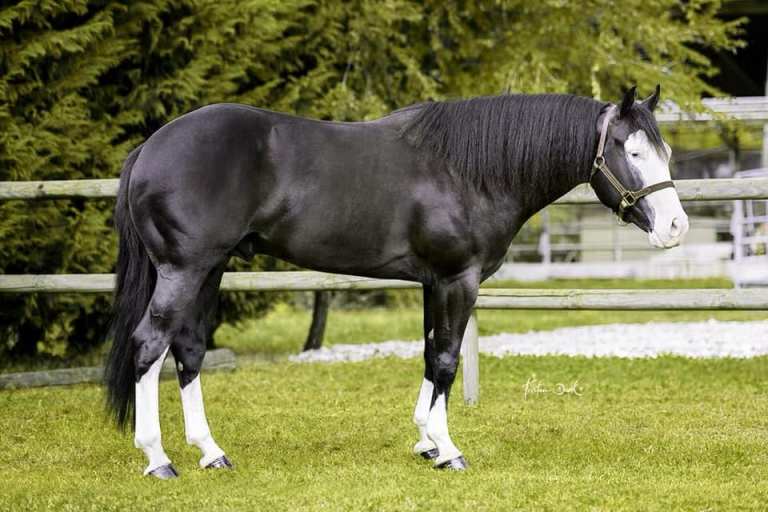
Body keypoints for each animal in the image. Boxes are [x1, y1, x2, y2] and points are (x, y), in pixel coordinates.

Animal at [104, 85, 689, 478]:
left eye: (664, 153)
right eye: (632, 152)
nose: (676, 227)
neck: (469, 171)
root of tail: (150, 148)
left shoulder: (433, 283)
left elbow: (430, 355)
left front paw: (426, 442)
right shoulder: (458, 280)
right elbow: (448, 359)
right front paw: (448, 450)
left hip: (211, 268)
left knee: (189, 349)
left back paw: (211, 452)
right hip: (185, 270)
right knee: (149, 345)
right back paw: (158, 458)